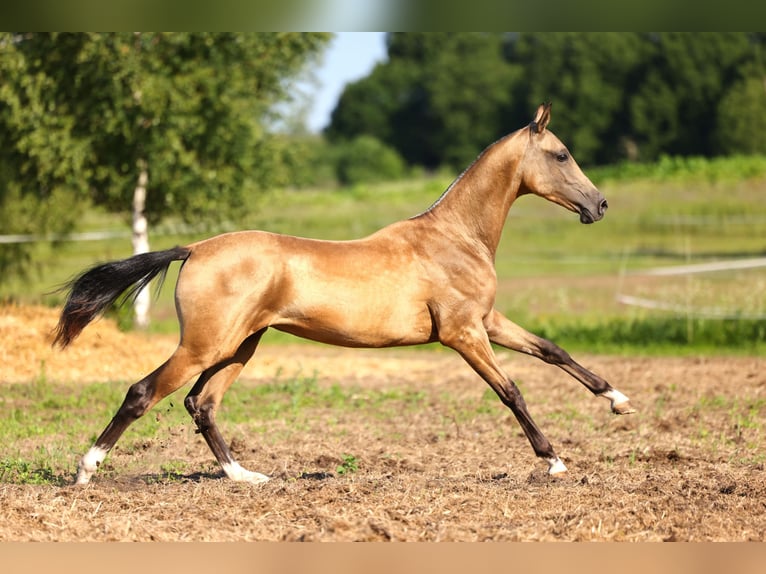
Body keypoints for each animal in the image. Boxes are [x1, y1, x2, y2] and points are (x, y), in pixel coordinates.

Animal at [54, 102, 640, 486]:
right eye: (561, 155)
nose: (601, 205)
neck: (456, 237)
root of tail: (195, 248)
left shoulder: (488, 321)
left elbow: (552, 351)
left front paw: (619, 401)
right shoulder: (463, 333)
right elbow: (512, 391)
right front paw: (554, 460)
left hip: (240, 345)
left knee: (202, 403)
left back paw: (245, 476)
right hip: (204, 345)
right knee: (144, 393)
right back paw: (86, 471)